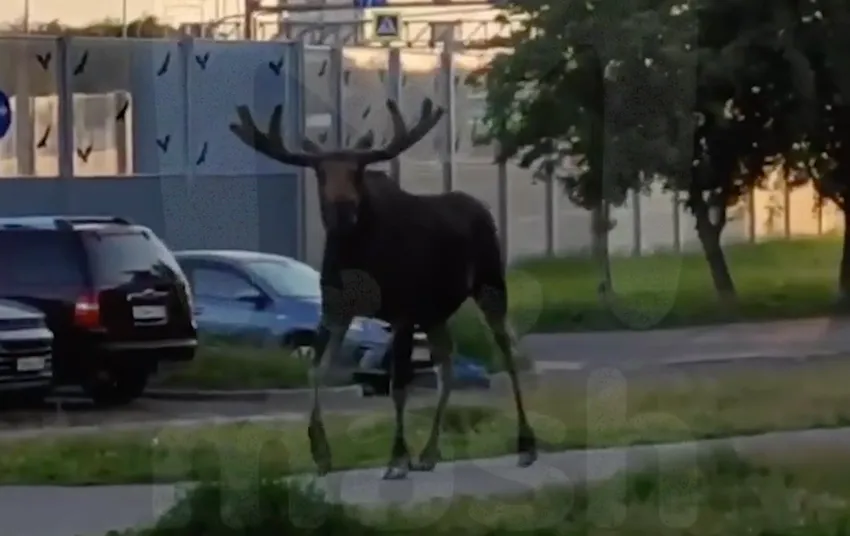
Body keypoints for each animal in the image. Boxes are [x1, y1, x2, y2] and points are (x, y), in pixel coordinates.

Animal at [229, 98, 537, 480]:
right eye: (320, 173)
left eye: (358, 172)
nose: (342, 208)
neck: (357, 257)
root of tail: (485, 210)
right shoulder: (335, 309)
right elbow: (317, 369)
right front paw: (321, 453)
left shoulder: (402, 313)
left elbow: (398, 386)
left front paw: (397, 457)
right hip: (435, 313)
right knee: (447, 365)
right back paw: (430, 452)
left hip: (490, 285)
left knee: (507, 353)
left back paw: (526, 445)